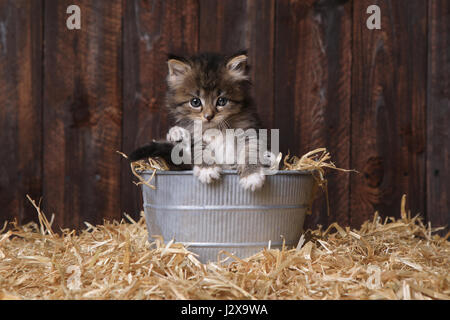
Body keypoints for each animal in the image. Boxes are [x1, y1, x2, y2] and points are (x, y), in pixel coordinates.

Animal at [130, 50, 270, 190]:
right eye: (195, 102)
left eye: (222, 101)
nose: (208, 116)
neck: (214, 129)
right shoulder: (194, 137)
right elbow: (198, 149)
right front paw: (207, 169)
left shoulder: (249, 130)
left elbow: (251, 149)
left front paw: (252, 175)